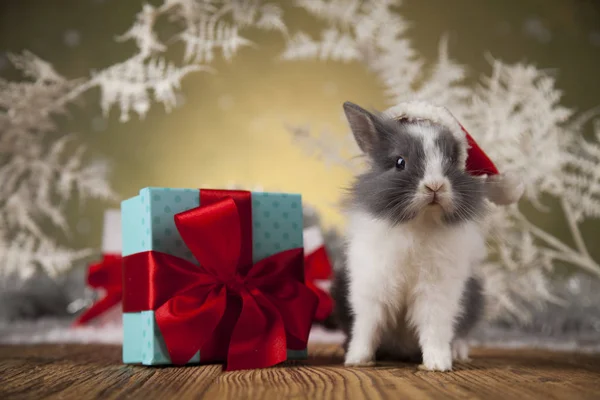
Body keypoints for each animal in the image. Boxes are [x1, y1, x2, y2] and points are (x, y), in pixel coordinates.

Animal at [332, 101, 492, 372]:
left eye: (452, 160)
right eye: (399, 162)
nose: (435, 186)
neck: (420, 221)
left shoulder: (437, 292)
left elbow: (434, 328)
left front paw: (438, 364)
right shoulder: (372, 288)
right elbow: (367, 326)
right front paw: (357, 360)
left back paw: (458, 353)